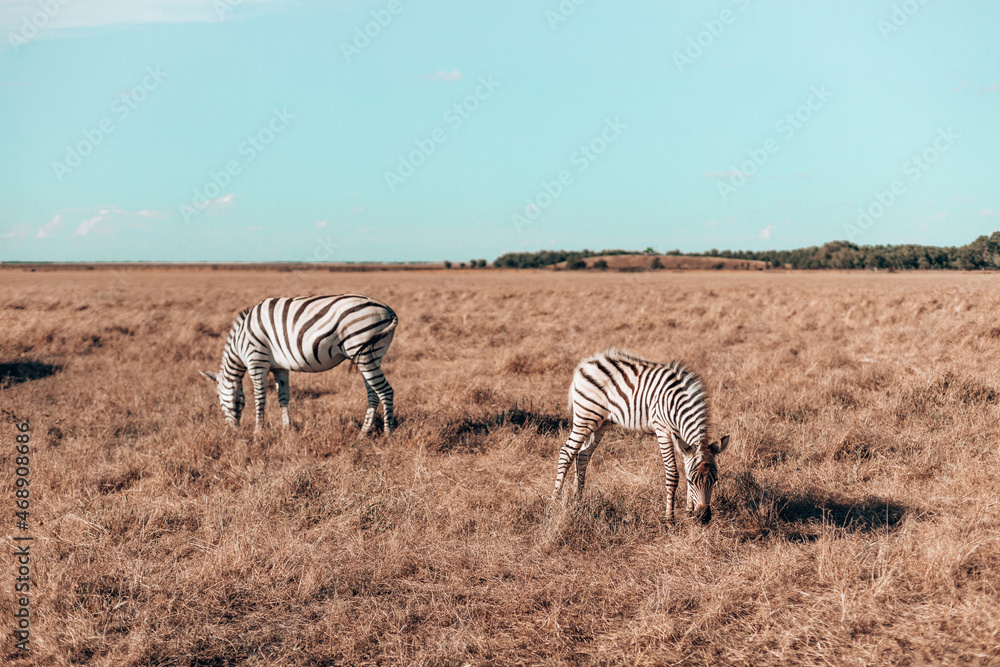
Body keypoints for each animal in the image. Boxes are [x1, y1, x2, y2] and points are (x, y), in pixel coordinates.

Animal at [200, 294, 398, 434]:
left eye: (217, 397)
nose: (233, 431)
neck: (240, 343)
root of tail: (389, 309)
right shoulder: (280, 367)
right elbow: (283, 397)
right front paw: (286, 429)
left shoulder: (256, 360)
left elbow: (260, 398)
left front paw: (258, 432)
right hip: (370, 357)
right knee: (373, 394)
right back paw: (363, 434)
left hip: (364, 353)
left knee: (386, 391)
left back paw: (388, 433)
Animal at [552, 348, 729, 524]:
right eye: (692, 481)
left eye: (714, 480)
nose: (703, 517)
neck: (678, 405)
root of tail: (585, 364)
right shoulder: (662, 429)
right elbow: (672, 474)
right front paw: (669, 519)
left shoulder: (681, 438)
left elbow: (686, 465)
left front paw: (688, 511)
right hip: (586, 416)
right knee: (567, 452)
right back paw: (554, 500)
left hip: (602, 422)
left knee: (583, 455)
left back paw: (578, 498)